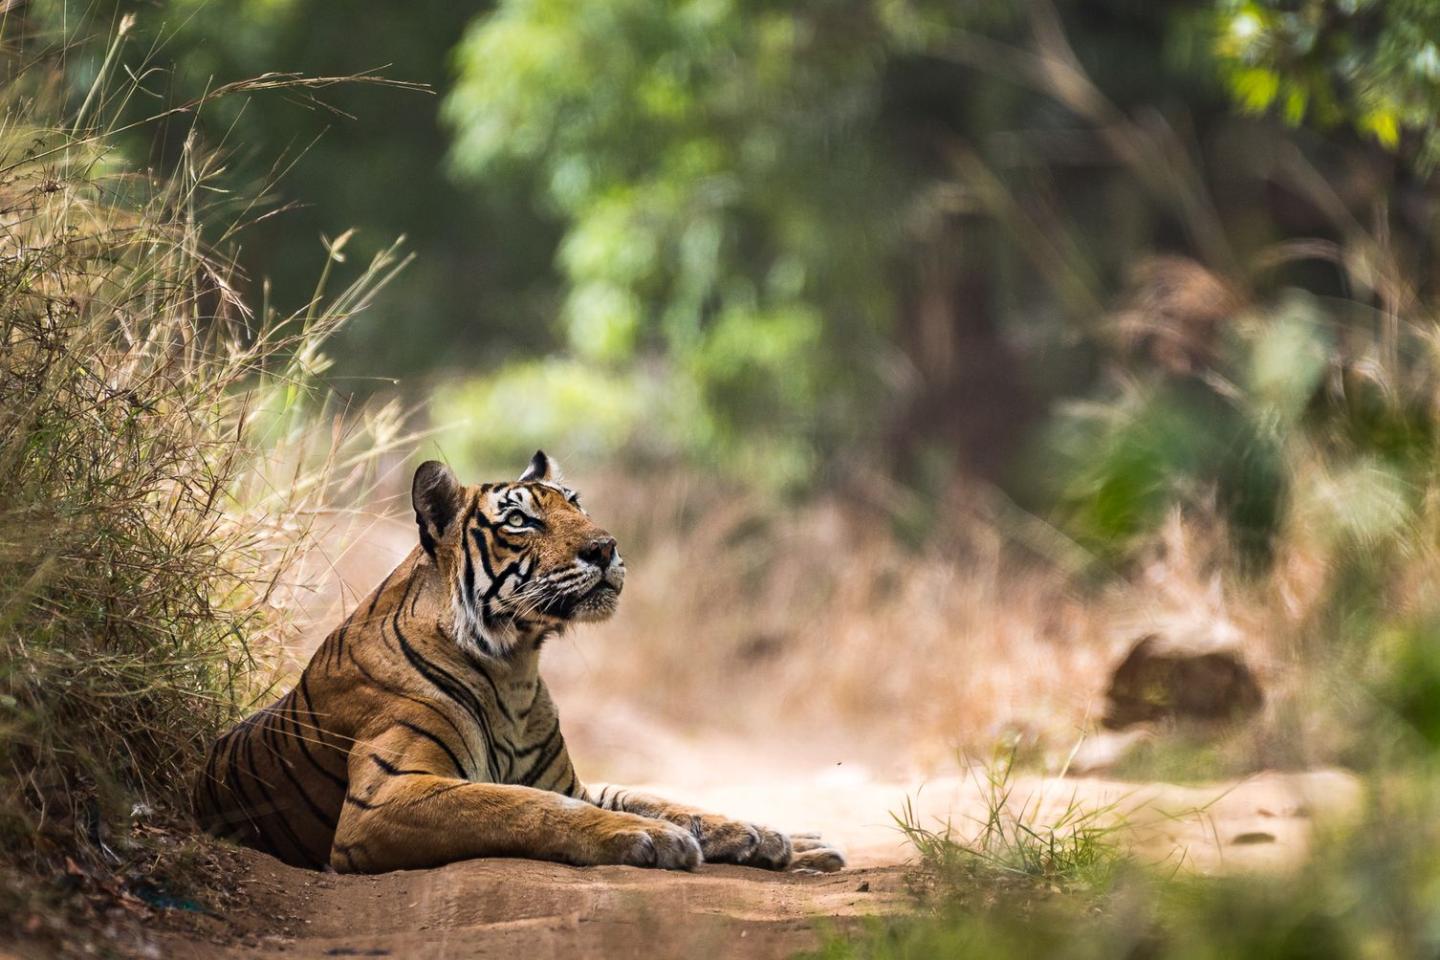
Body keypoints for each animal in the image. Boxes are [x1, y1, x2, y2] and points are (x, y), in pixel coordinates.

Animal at [193, 451, 845, 875]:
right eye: (519, 520)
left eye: (577, 506)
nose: (606, 547)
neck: (515, 669)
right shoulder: (384, 798)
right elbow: (518, 805)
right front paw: (652, 838)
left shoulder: (570, 780)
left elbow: (654, 795)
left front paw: (762, 834)